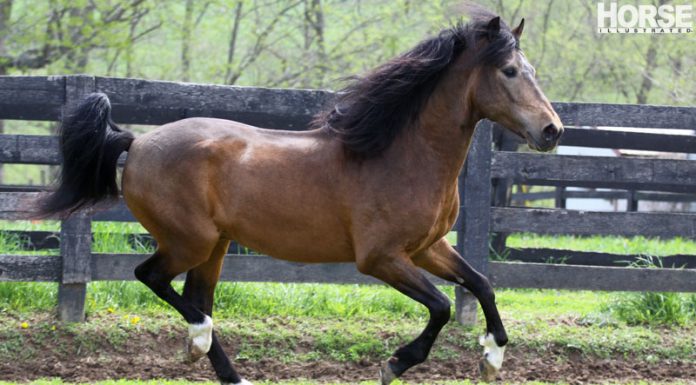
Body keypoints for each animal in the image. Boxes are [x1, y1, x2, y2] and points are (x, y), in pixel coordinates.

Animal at [38, 8, 564, 384]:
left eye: (532, 68)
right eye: (510, 71)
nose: (552, 130)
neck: (403, 155)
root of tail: (138, 141)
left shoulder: (428, 248)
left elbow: (482, 284)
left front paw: (491, 359)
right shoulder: (381, 258)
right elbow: (441, 306)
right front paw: (395, 363)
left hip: (215, 245)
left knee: (195, 295)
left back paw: (226, 370)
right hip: (190, 240)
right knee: (154, 279)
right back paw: (199, 340)